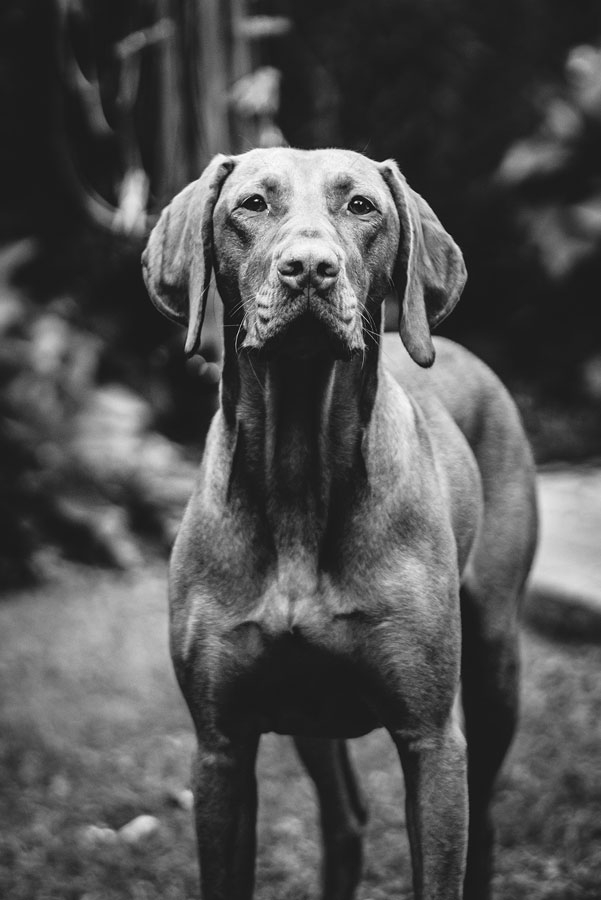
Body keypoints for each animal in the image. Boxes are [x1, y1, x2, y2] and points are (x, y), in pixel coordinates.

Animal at [143, 149, 536, 900]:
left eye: (361, 207)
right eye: (252, 204)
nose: (309, 268)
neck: (299, 470)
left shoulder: (431, 740)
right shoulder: (221, 747)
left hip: (495, 657)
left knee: (486, 819)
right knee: (346, 818)